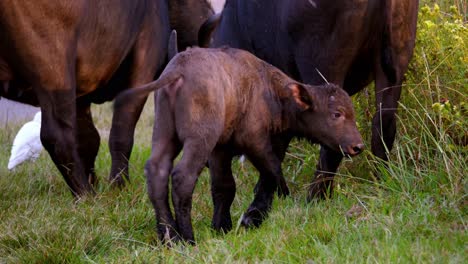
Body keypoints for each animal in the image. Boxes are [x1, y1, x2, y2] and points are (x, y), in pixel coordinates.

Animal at [0, 0, 174, 198]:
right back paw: (86, 195)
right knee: (56, 134)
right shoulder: (145, 60)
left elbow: (88, 139)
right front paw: (119, 185)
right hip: (54, 65)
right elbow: (122, 131)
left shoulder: (81, 93)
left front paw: (96, 180)